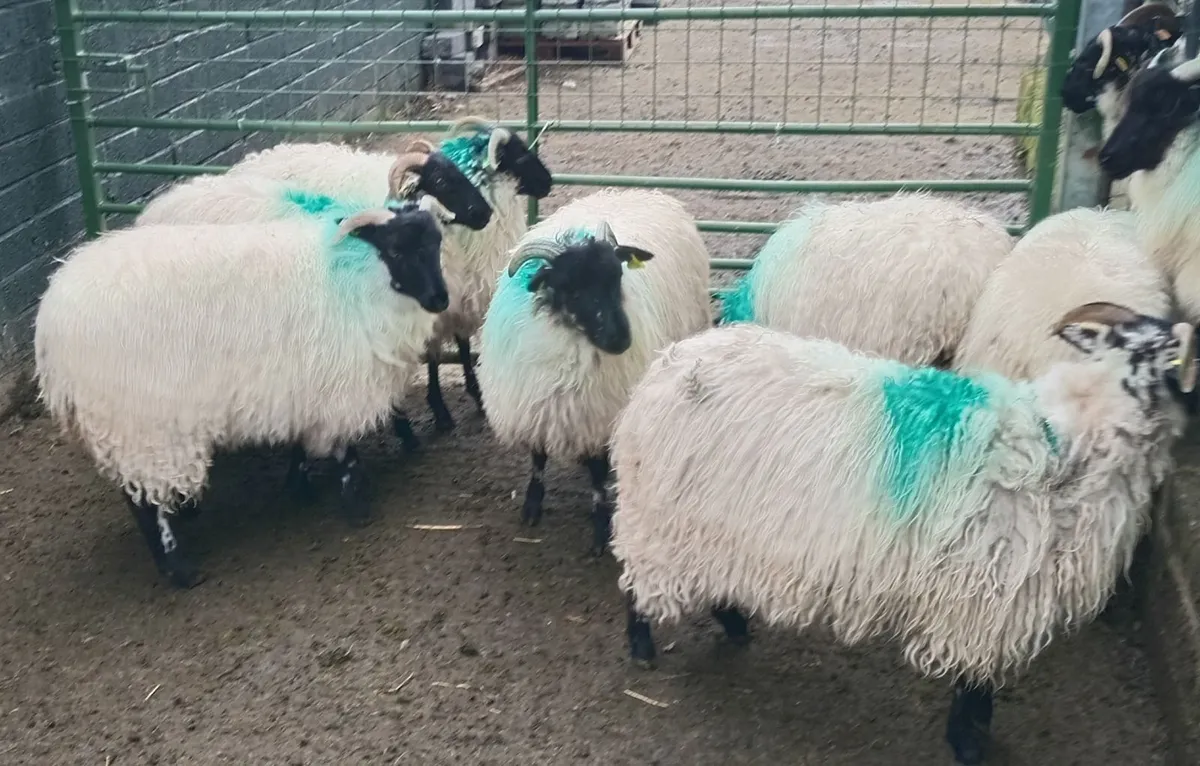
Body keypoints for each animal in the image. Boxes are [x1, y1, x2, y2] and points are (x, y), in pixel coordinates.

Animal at [34, 198, 450, 588]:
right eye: (396, 250)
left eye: (436, 242)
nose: (440, 300)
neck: (353, 273)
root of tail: (49, 322)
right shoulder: (337, 385)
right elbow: (345, 453)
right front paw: (356, 507)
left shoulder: (299, 386)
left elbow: (301, 444)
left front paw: (298, 486)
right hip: (138, 421)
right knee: (143, 502)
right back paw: (179, 568)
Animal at [388, 116, 554, 442]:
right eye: (519, 156)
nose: (549, 181)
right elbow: (433, 355)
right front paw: (439, 411)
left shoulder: (462, 296)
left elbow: (463, 345)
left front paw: (476, 394)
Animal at [476, 189, 710, 555]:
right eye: (570, 288)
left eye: (618, 277)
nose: (621, 339)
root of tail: (640, 191)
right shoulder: (534, 404)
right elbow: (537, 457)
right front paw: (532, 505)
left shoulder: (600, 416)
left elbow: (598, 476)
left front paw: (601, 526)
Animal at [611, 305, 1194, 765]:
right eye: (1169, 355)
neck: (1069, 443)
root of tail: (662, 368)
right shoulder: (981, 595)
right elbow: (974, 681)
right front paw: (968, 742)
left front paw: (975, 730)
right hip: (659, 517)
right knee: (638, 582)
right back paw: (643, 646)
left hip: (711, 529)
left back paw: (734, 625)